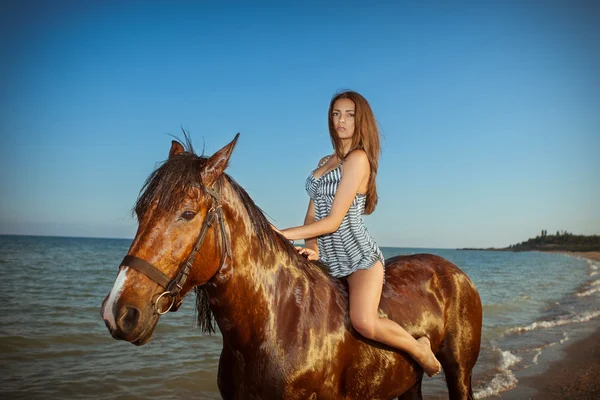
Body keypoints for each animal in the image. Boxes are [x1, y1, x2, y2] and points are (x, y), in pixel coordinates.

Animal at [99, 135, 482, 400]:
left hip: (460, 372)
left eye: (188, 213)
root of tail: (456, 273)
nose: (118, 312)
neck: (274, 324)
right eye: (141, 211)